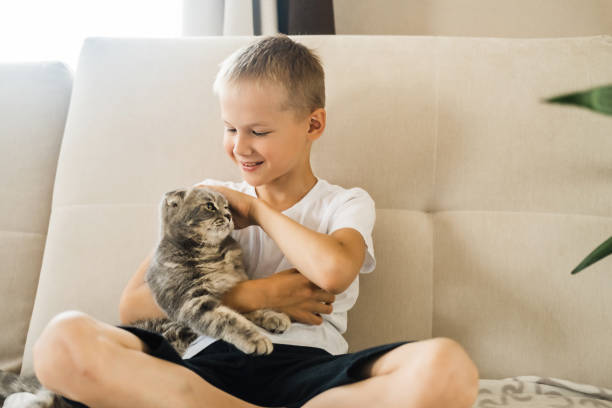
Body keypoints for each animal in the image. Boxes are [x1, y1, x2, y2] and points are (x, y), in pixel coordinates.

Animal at [0, 186, 290, 406]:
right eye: (210, 206)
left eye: (227, 206)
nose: (229, 215)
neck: (215, 254)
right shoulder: (191, 301)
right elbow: (228, 319)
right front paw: (255, 338)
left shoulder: (230, 293)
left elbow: (247, 310)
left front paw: (273, 317)